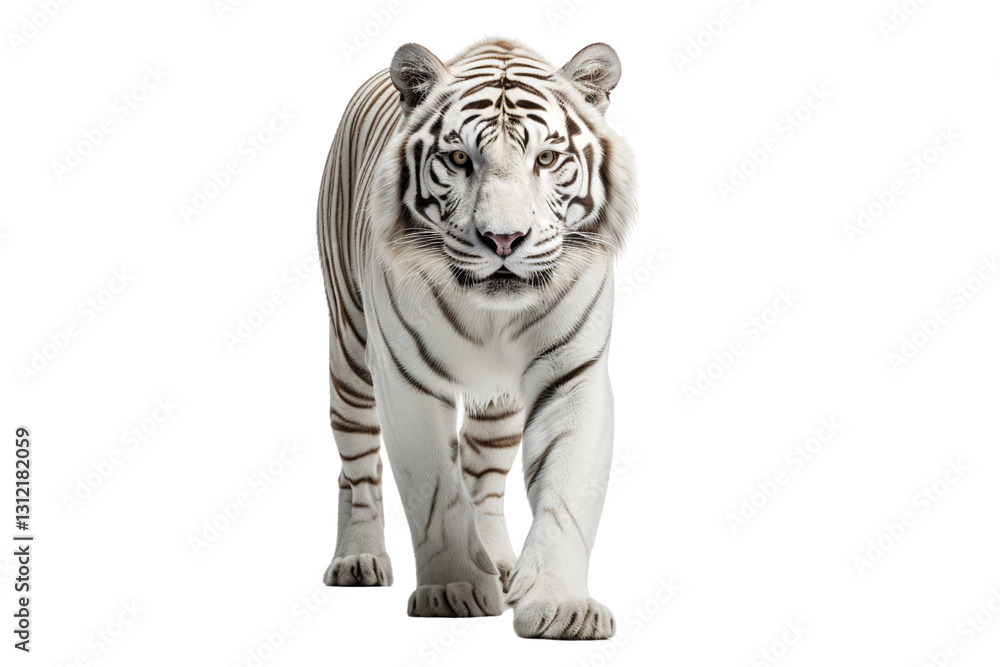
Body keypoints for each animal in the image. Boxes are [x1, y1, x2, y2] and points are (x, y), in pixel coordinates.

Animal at [316, 37, 637, 640]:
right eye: (460, 159)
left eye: (546, 159)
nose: (504, 239)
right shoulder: (404, 379)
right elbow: (435, 490)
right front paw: (453, 591)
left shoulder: (573, 375)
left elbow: (564, 494)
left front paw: (561, 606)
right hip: (349, 353)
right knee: (358, 464)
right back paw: (358, 558)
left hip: (501, 403)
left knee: (483, 474)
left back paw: (499, 562)